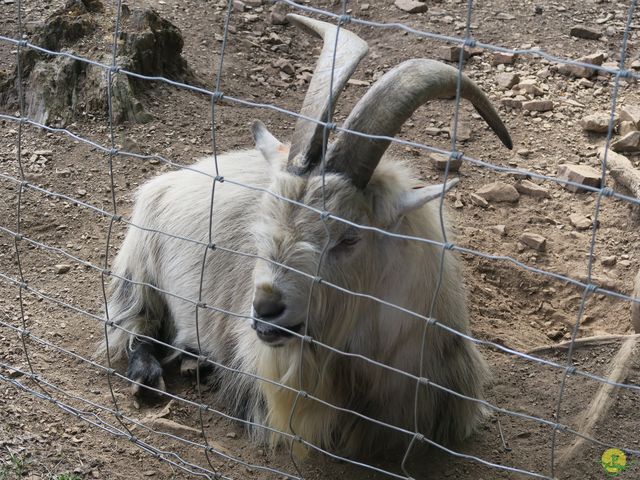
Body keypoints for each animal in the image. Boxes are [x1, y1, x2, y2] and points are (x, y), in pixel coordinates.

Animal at [99, 14, 510, 458]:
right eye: (263, 219)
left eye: (350, 238)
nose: (265, 309)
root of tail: (169, 181)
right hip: (140, 269)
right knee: (135, 323)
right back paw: (149, 377)